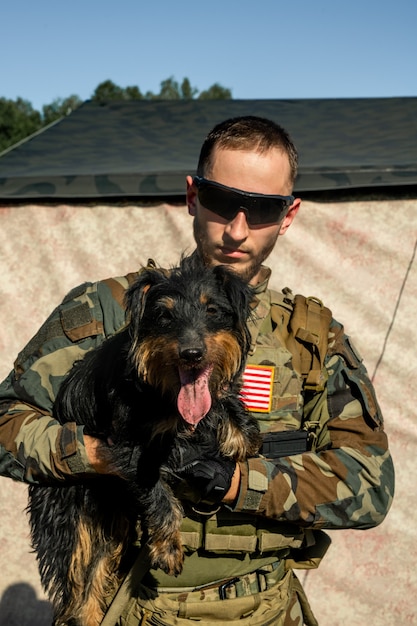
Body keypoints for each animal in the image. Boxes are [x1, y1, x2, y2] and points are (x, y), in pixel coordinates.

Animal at [27, 254, 260, 624]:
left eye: (212, 310)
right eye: (164, 315)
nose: (192, 353)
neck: (166, 390)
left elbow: (220, 403)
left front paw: (241, 430)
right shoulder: (128, 446)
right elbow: (159, 494)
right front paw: (168, 547)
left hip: (111, 529)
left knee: (93, 583)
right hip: (72, 522)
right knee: (76, 588)